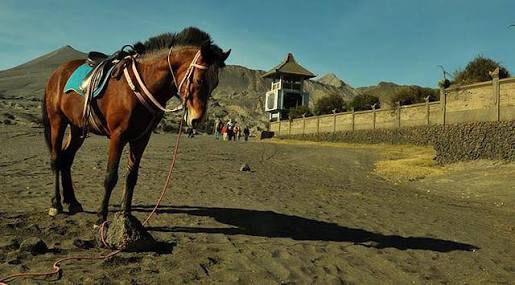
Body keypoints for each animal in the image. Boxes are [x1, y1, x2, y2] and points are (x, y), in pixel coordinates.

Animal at [41, 27, 231, 223]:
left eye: (215, 84)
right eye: (200, 79)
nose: (197, 120)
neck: (140, 85)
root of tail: (57, 73)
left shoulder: (141, 138)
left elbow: (131, 177)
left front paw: (126, 215)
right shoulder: (117, 136)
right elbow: (110, 176)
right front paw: (101, 217)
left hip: (77, 127)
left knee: (67, 159)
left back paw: (72, 202)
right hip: (57, 121)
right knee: (56, 158)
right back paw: (56, 204)